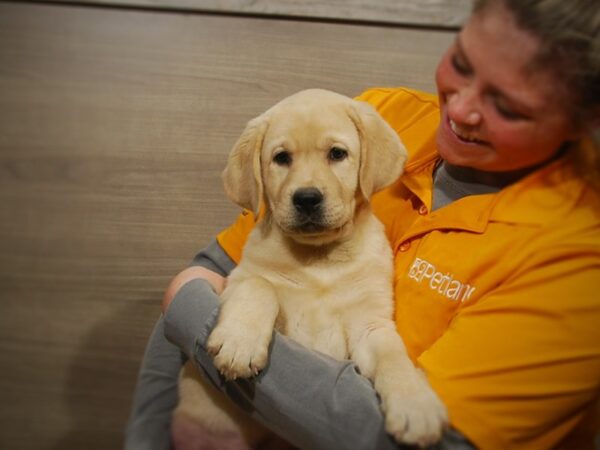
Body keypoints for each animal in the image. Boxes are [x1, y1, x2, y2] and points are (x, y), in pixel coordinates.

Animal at [173, 89, 446, 448]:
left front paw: (416, 404)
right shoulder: (235, 279)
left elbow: (393, 356)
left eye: (337, 154)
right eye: (281, 158)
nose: (306, 199)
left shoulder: (370, 325)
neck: (320, 261)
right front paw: (238, 342)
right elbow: (259, 286)